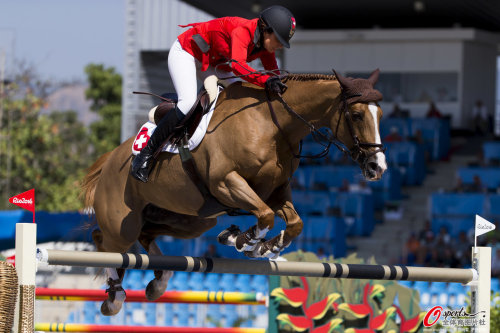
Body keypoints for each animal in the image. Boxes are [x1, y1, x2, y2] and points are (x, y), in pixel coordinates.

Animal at [81, 68, 386, 314]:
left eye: (380, 114)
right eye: (357, 115)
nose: (377, 167)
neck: (271, 126)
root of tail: (110, 159)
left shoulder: (275, 192)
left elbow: (294, 222)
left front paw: (264, 245)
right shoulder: (226, 182)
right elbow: (265, 216)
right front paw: (245, 241)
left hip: (192, 220)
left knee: (144, 235)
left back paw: (158, 282)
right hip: (123, 223)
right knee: (108, 243)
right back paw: (114, 296)